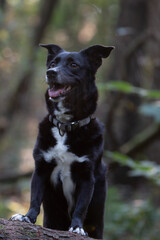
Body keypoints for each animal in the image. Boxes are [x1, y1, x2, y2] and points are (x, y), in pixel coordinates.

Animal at [10, 44, 114, 239]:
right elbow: (35, 197)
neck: (66, 126)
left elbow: (81, 207)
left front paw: (77, 228)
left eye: (74, 65)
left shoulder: (86, 176)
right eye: (52, 63)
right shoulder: (41, 168)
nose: (50, 72)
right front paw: (27, 217)